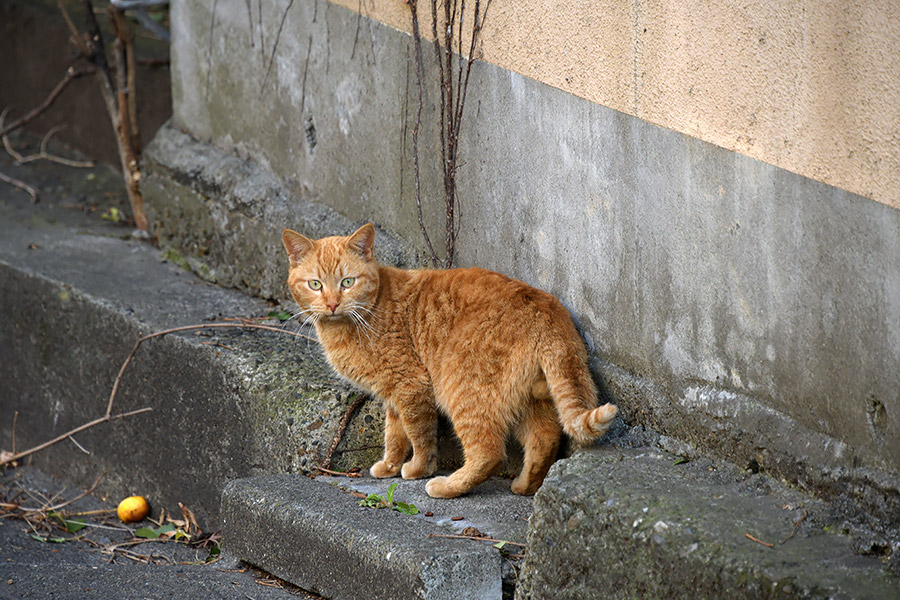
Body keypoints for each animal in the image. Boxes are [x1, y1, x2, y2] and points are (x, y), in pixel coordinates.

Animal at [284, 224, 620, 496]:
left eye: (347, 282)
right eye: (315, 284)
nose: (331, 304)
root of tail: (547, 310)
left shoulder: (411, 386)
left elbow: (418, 434)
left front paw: (418, 469)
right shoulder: (393, 394)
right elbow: (395, 435)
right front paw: (390, 466)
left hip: (461, 389)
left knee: (489, 452)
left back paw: (447, 486)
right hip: (532, 400)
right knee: (545, 440)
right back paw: (525, 486)